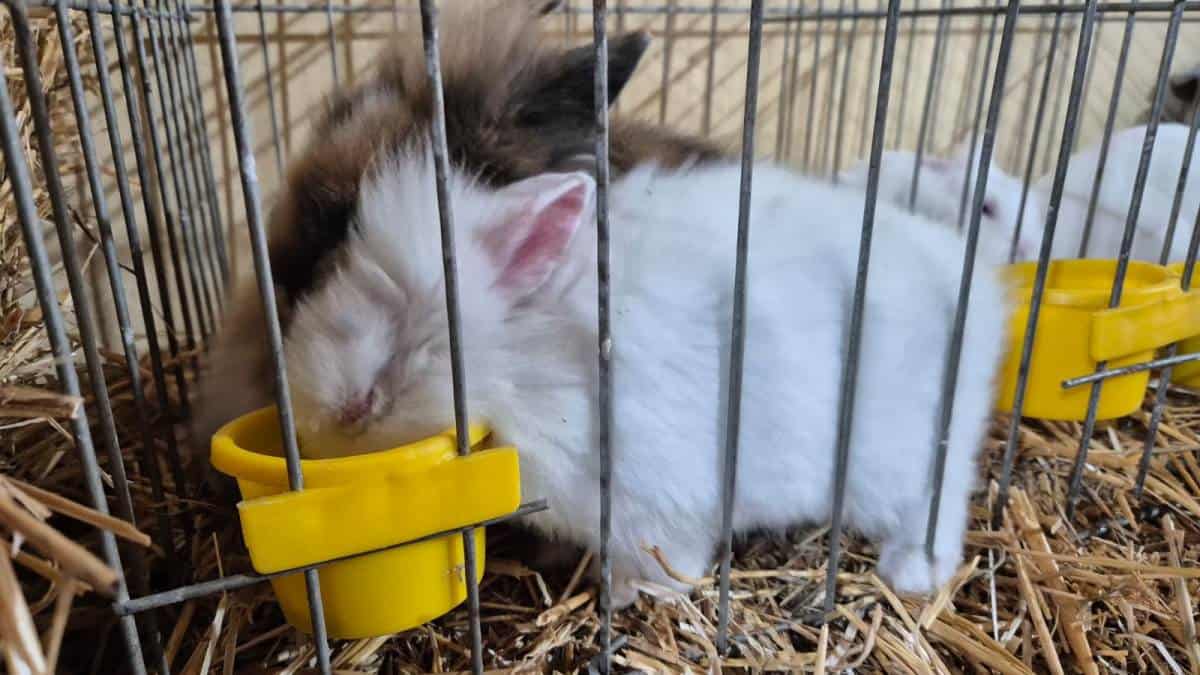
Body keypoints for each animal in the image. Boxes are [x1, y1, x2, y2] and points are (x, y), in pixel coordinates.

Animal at [281, 141, 1010, 608]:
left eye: (402, 355)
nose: (325, 413)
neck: (530, 361)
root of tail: (974, 290)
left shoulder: (652, 498)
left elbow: (670, 557)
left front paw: (631, 593)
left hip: (894, 456)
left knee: (938, 500)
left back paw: (911, 571)